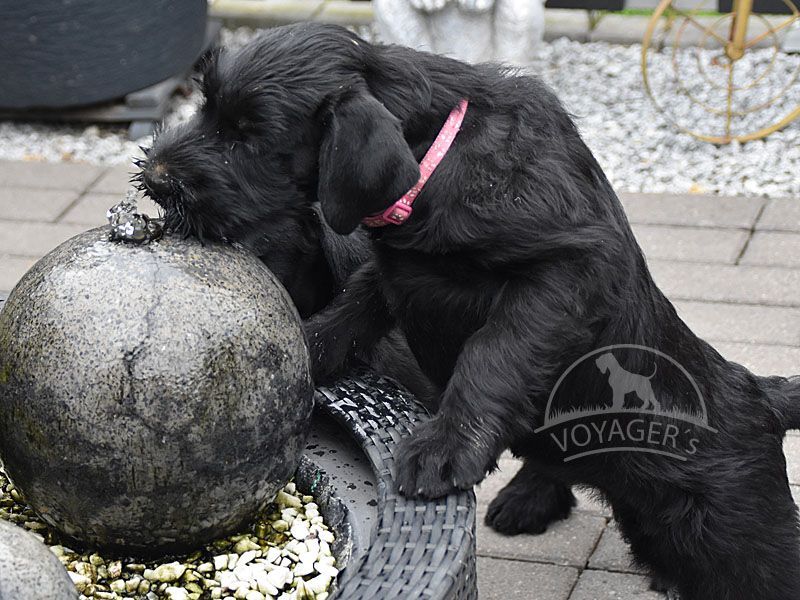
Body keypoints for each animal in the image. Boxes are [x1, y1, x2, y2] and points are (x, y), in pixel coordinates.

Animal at [140, 23, 800, 599]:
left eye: (250, 137)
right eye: (207, 109)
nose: (155, 177)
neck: (437, 159)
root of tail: (760, 393)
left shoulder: (564, 272)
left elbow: (495, 351)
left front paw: (446, 446)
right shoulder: (395, 273)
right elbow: (351, 310)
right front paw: (305, 351)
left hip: (736, 536)